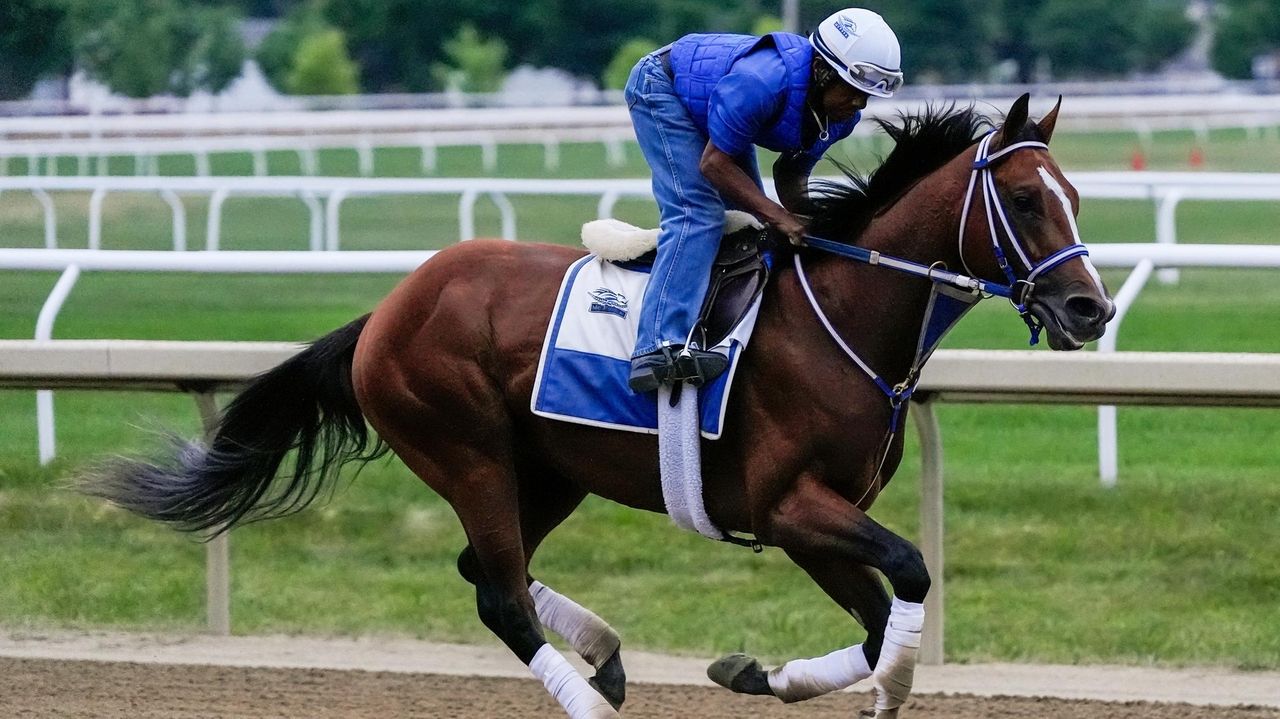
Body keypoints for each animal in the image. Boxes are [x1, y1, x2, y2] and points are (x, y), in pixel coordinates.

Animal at [85, 96, 1116, 716]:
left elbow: (875, 621)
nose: (1090, 309)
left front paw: (760, 670)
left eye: (1073, 192)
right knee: (500, 594)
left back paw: (608, 656)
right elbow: (910, 573)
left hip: (546, 469)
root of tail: (388, 308)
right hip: (463, 448)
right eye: (1026, 199)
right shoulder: (789, 506)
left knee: (481, 568)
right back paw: (585, 694)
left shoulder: (814, 522)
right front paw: (883, 689)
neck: (845, 315)